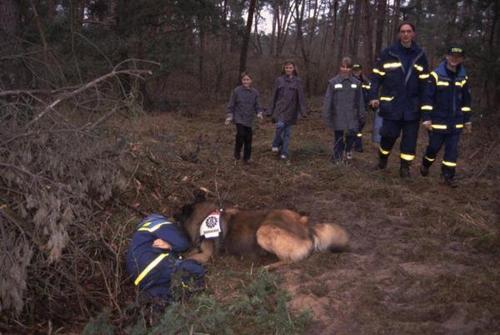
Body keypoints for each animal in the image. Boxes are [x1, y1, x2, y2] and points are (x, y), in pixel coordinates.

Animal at [175, 197, 348, 266]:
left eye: (180, 212)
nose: (172, 215)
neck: (202, 217)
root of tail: (305, 226)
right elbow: (188, 253)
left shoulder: (205, 255)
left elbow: (187, 258)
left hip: (263, 231)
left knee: (289, 260)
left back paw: (267, 267)